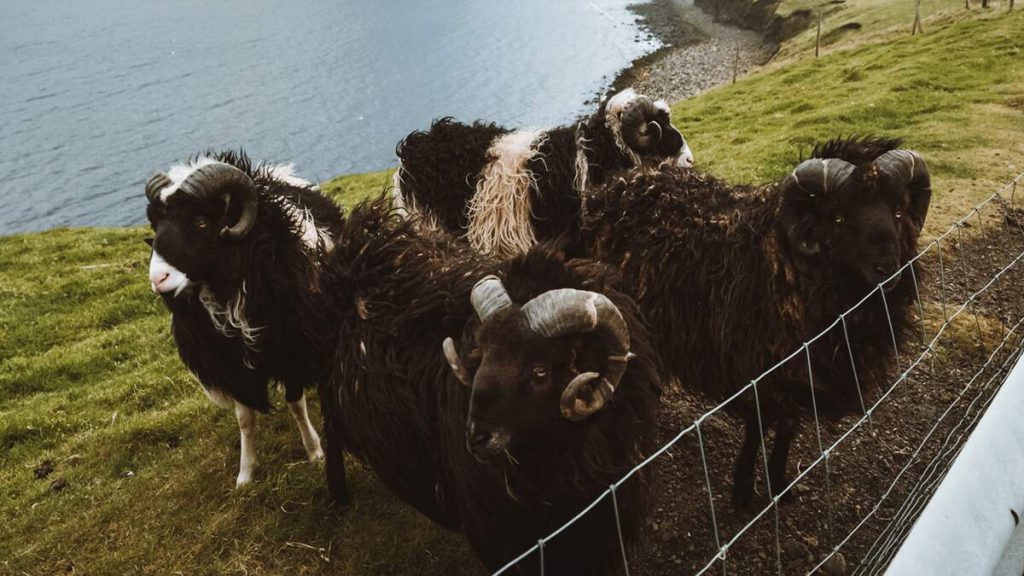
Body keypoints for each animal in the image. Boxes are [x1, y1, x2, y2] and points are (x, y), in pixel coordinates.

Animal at [144, 151, 346, 491]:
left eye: (201, 223)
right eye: (157, 225)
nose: (158, 279)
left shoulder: (293, 350)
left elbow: (295, 404)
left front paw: (314, 451)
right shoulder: (231, 367)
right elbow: (244, 420)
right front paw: (245, 473)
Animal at [580, 137, 931, 510]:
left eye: (898, 211)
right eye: (838, 217)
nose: (887, 268)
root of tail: (622, 181)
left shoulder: (799, 374)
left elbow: (788, 428)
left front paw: (779, 483)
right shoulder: (758, 371)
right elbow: (756, 430)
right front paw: (744, 492)